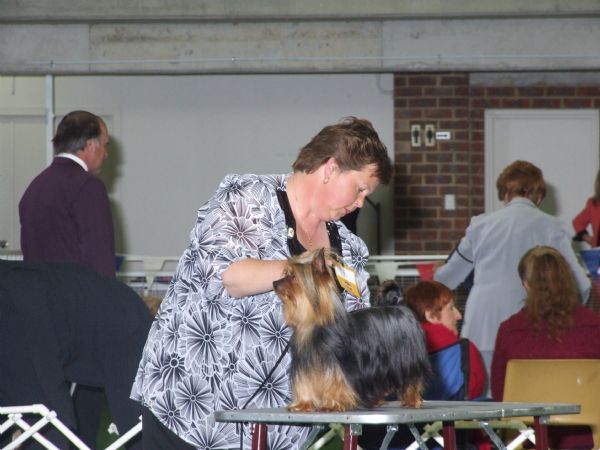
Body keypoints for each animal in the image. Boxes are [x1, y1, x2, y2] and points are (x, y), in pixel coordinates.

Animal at [273, 248, 431, 412]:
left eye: (293, 276)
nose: (274, 283)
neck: (313, 323)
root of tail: (400, 305)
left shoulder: (338, 365)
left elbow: (335, 382)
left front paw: (331, 404)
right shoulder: (306, 363)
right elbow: (305, 382)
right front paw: (303, 404)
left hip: (407, 359)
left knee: (412, 378)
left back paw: (412, 400)